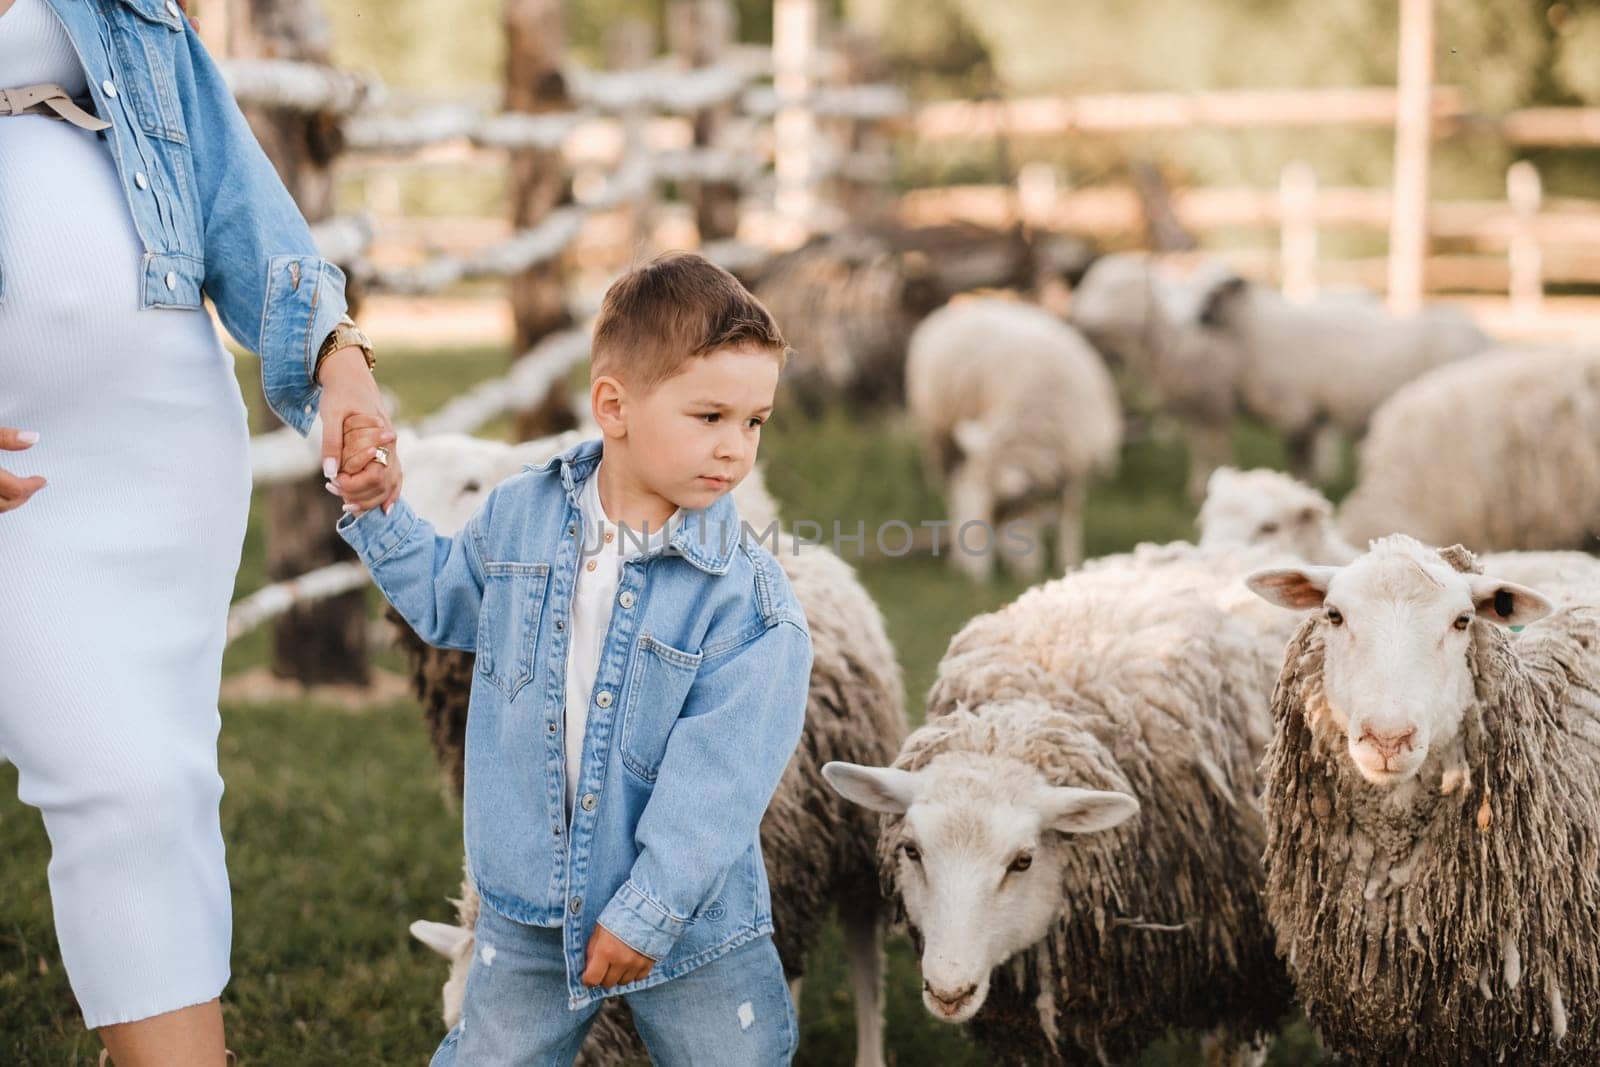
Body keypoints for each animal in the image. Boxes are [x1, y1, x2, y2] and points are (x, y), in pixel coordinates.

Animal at [908, 299, 1120, 585]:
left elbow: (1070, 511)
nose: (973, 581)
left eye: (993, 514)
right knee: (949, 490)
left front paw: (1067, 559)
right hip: (938, 434)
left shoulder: (1076, 462)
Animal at [1068, 252, 1491, 499]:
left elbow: (1229, 448)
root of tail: (1484, 336)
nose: (1076, 316)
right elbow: (1201, 446)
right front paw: (1199, 487)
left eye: (1116, 288)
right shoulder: (1201, 401)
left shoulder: (1289, 409)